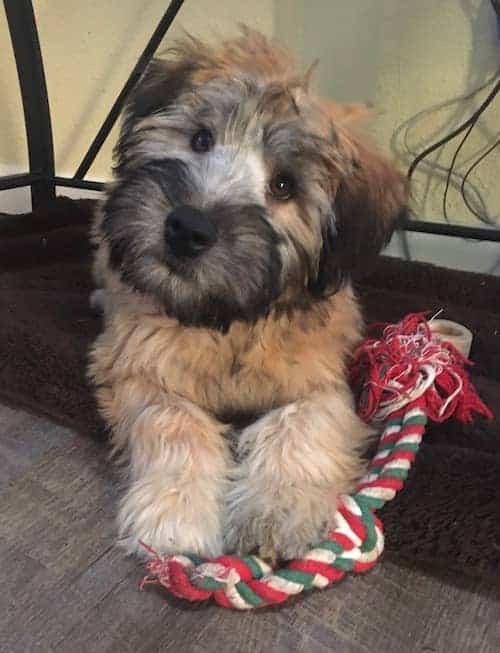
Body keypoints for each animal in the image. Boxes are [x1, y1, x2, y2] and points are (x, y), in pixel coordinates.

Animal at [89, 28, 406, 560]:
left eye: (283, 185)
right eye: (200, 139)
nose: (187, 228)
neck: (227, 319)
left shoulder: (321, 380)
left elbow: (301, 426)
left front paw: (277, 509)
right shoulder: (139, 367)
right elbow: (175, 422)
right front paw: (176, 511)